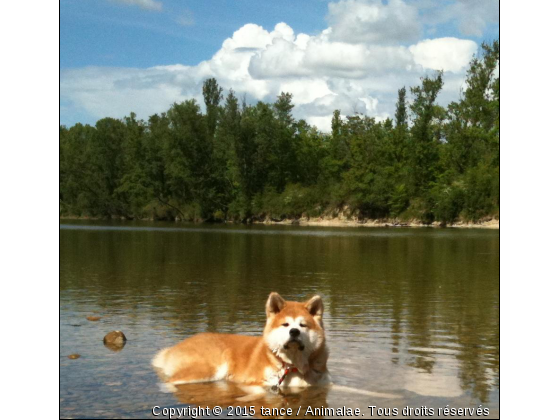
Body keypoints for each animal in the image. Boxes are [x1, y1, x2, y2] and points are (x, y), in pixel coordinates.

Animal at [151, 294, 330, 388]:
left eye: (302, 325)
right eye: (285, 324)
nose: (294, 331)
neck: (291, 367)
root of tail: (172, 349)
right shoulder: (255, 383)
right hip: (207, 370)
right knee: (169, 382)